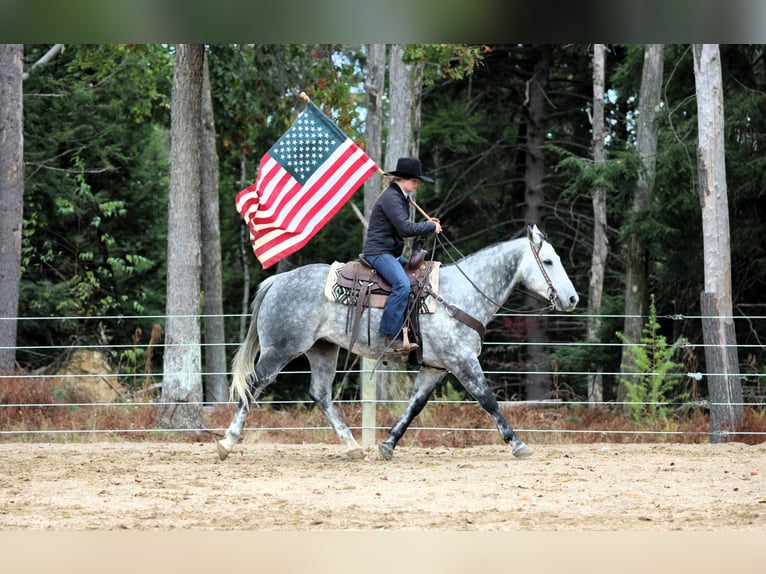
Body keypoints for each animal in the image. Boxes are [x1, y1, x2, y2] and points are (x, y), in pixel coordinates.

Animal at [217, 224, 579, 461]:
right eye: (548, 261)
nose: (572, 298)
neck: (461, 293)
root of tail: (278, 280)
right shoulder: (462, 361)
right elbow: (488, 400)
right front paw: (517, 443)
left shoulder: (435, 367)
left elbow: (415, 405)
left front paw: (388, 444)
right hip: (280, 349)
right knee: (253, 385)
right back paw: (227, 442)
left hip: (323, 349)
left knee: (320, 394)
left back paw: (352, 446)